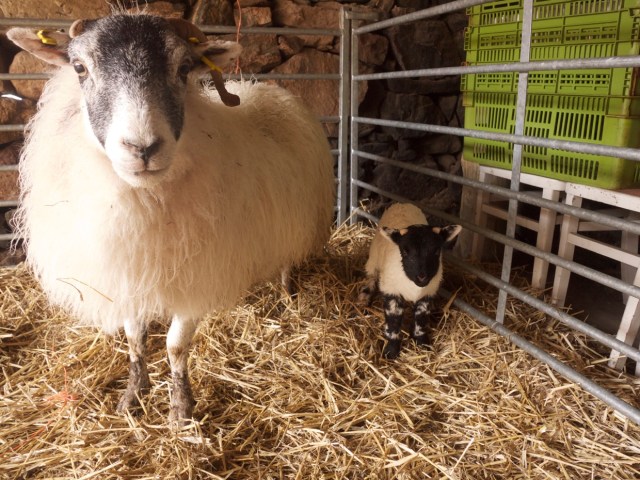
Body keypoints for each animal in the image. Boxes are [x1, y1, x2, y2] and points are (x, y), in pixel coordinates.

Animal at [7, 13, 335, 423]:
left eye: (183, 68)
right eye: (80, 68)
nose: (142, 148)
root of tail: (264, 87)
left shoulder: (195, 279)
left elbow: (175, 346)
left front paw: (181, 407)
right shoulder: (128, 276)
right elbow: (136, 340)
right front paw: (134, 394)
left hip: (297, 221)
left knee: (288, 261)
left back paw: (288, 295)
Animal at [359, 203, 461, 359]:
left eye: (437, 251)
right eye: (405, 251)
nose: (422, 277)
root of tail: (402, 204)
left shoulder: (427, 294)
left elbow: (421, 318)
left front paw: (422, 343)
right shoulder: (391, 291)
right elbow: (393, 321)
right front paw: (391, 351)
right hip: (374, 259)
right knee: (371, 277)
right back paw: (364, 298)